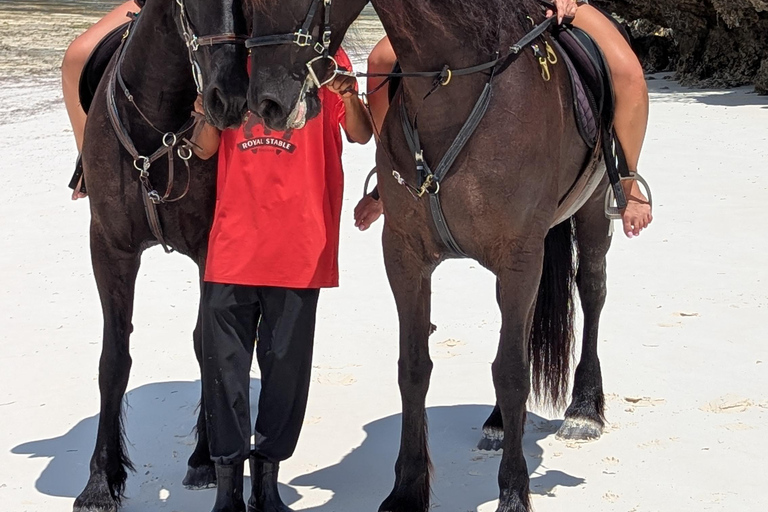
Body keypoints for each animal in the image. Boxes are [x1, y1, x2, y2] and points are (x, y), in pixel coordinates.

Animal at [74, 0, 249, 510]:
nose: (231, 100)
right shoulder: (109, 247)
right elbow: (114, 358)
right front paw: (101, 477)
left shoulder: (212, 246)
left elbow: (210, 345)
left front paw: (206, 458)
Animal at [243, 0, 613, 510]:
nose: (268, 103)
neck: (452, 83)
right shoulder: (405, 254)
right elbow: (414, 368)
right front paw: (406, 488)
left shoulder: (519, 255)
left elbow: (513, 373)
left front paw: (514, 491)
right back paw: (500, 422)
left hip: (593, 209)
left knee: (591, 290)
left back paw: (584, 410)